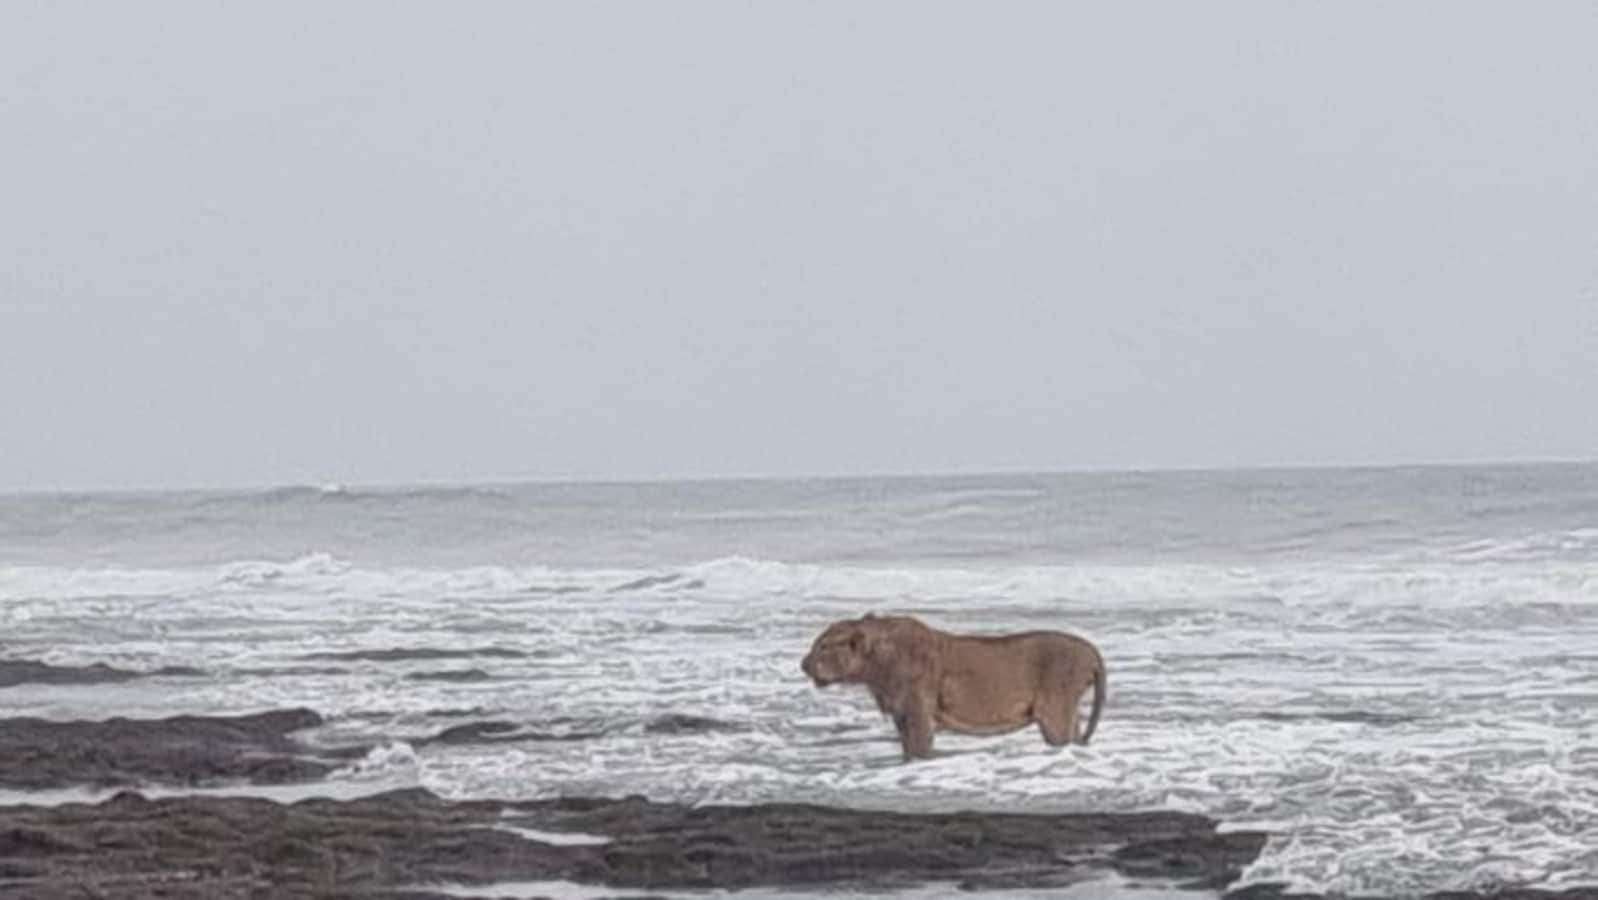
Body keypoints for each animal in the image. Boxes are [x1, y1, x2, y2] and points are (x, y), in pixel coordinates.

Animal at [805, 613, 1105, 760]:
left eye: (823, 646)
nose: (803, 664)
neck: (876, 668)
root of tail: (1091, 650)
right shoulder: (901, 715)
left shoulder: (918, 712)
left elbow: (919, 750)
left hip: (1055, 712)